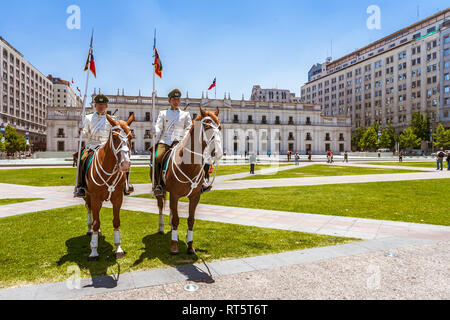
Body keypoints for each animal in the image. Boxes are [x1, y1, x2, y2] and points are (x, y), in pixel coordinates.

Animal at [83, 114, 134, 262]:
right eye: (115, 137)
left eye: (130, 137)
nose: (125, 164)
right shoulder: (95, 198)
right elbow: (96, 222)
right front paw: (94, 251)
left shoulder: (118, 198)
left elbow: (116, 222)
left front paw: (118, 248)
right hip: (87, 196)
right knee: (90, 212)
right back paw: (90, 231)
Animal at [153, 107, 223, 255]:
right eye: (207, 126)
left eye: (219, 127)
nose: (218, 152)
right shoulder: (174, 195)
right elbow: (176, 219)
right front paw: (174, 246)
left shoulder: (195, 196)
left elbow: (191, 220)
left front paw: (190, 245)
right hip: (158, 189)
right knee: (161, 206)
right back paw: (161, 228)